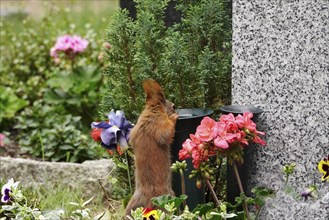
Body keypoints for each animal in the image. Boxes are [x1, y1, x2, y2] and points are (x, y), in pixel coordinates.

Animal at [125, 79, 177, 215]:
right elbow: (167, 132)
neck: (153, 110)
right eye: (173, 106)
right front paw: (174, 118)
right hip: (168, 199)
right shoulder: (160, 125)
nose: (176, 111)